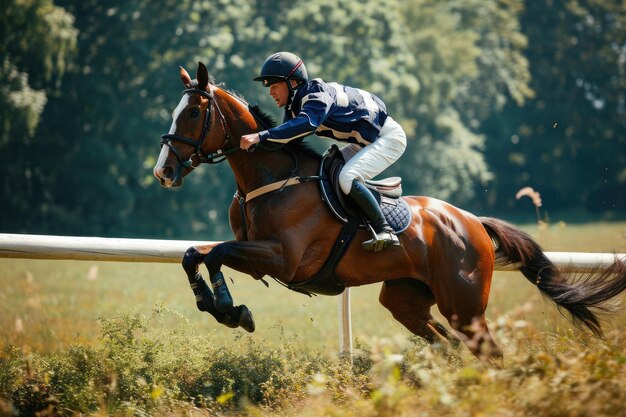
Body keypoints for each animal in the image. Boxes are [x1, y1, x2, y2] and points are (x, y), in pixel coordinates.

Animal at [152, 61, 624, 364]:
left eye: (192, 112)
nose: (163, 171)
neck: (270, 176)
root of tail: (473, 222)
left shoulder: (282, 258)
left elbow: (215, 254)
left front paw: (230, 309)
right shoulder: (254, 251)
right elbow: (195, 254)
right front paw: (218, 306)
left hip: (465, 305)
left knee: (488, 352)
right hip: (406, 299)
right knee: (447, 344)